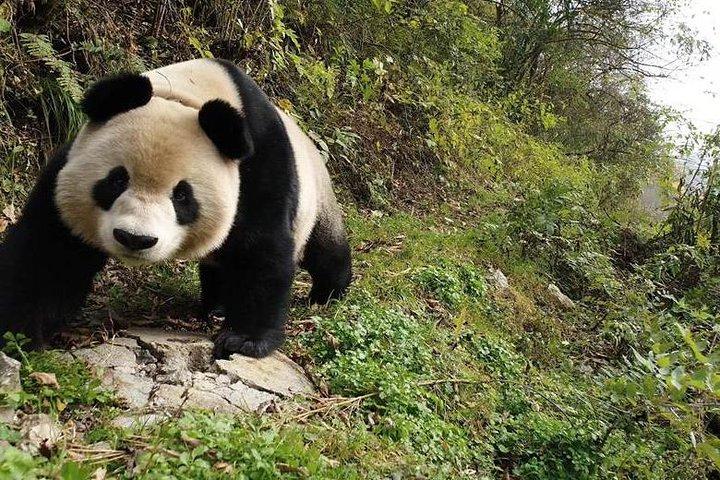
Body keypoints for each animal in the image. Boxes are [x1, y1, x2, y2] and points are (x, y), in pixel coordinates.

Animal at [0, 59, 352, 358]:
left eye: (182, 196)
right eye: (116, 180)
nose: (135, 239)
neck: (184, 97)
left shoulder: (259, 167)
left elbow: (262, 250)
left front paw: (244, 340)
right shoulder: (65, 172)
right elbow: (50, 253)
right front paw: (17, 336)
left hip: (315, 199)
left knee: (324, 249)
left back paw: (328, 294)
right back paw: (216, 306)